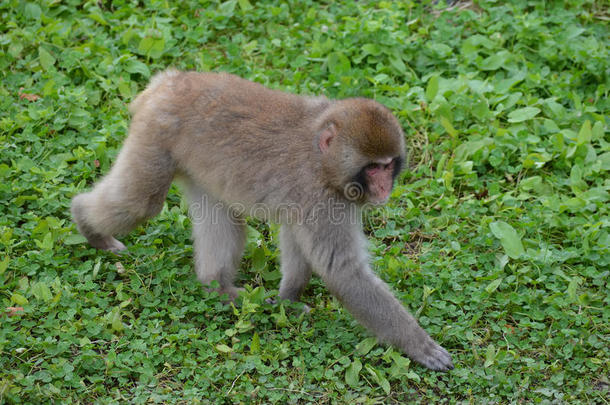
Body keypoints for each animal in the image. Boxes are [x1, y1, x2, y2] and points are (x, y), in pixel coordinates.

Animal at [70, 69, 452, 370]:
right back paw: (86, 222)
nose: (384, 187)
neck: (322, 159)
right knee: (140, 203)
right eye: (373, 168)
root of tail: (170, 80)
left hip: (196, 162)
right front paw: (419, 345)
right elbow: (343, 271)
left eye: (388, 165)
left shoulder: (314, 202)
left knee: (223, 219)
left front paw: (288, 299)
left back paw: (217, 287)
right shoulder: (322, 197)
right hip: (156, 132)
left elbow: (295, 239)